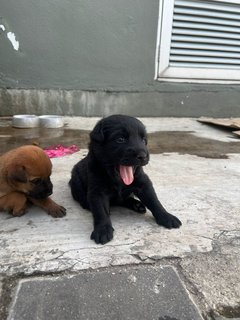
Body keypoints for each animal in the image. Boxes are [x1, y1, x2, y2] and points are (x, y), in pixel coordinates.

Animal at [69, 116, 182, 244]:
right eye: (120, 139)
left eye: (144, 140)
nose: (143, 156)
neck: (117, 179)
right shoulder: (97, 191)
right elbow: (100, 211)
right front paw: (103, 230)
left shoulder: (143, 183)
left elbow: (154, 201)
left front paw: (166, 217)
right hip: (76, 182)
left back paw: (137, 205)